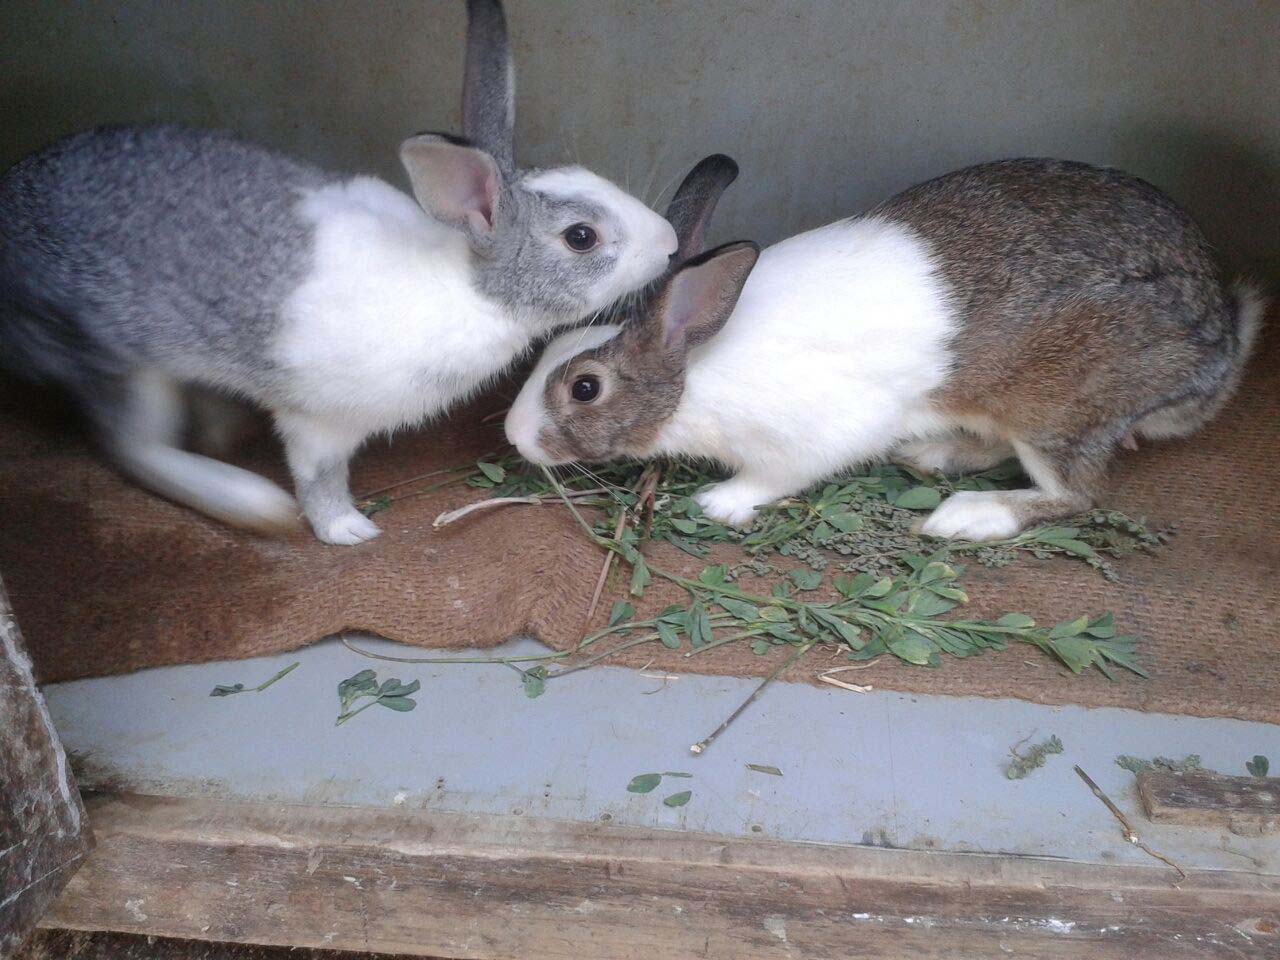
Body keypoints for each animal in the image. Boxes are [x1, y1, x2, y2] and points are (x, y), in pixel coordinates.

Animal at [0, 0, 678, 545]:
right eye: (582, 237)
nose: (671, 243)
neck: (470, 284)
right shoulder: (317, 423)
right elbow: (320, 479)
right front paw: (349, 531)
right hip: (117, 359)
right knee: (132, 448)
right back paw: (250, 502)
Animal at [505, 154, 1266, 541]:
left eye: (584, 387)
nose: (514, 436)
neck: (694, 364)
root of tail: (1220, 347)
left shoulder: (813, 434)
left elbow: (775, 476)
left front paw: (719, 503)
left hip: (1056, 410)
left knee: (1079, 496)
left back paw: (967, 516)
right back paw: (933, 455)